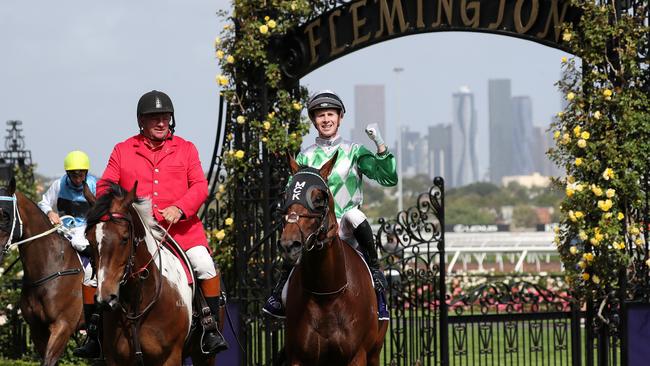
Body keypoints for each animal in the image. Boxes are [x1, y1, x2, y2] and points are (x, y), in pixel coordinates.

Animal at [85, 182, 220, 364]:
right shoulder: (114, 360)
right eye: (89, 239)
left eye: (125, 238)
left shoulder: (170, 357)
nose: (105, 299)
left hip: (204, 356)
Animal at [280, 153, 388, 364]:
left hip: (374, 352)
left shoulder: (357, 356)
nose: (290, 245)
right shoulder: (297, 357)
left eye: (318, 199)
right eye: (286, 196)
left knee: (355, 216)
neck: (327, 296)